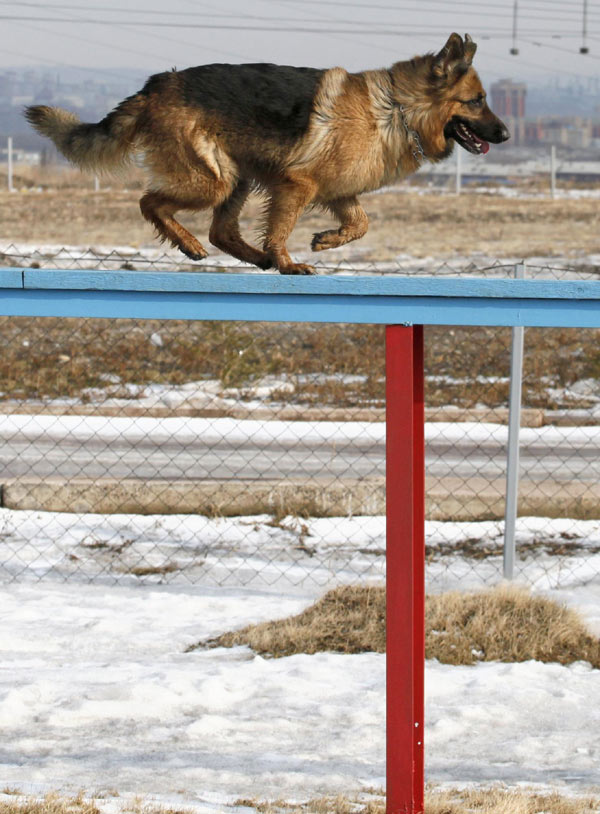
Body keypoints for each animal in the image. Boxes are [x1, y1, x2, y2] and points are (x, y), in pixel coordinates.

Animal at [25, 33, 508, 276]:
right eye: (477, 101)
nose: (504, 133)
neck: (397, 110)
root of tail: (156, 85)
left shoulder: (338, 192)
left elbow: (361, 224)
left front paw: (325, 240)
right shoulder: (296, 186)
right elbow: (280, 230)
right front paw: (288, 263)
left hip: (234, 178)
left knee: (221, 230)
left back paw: (251, 258)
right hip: (212, 180)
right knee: (150, 202)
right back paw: (191, 245)